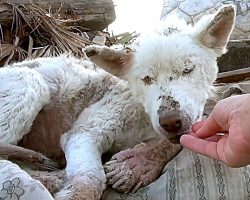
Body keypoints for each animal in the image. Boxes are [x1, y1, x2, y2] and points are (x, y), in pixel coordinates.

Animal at [0, 4, 235, 200]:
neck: (143, 113)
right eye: (146, 79)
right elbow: (89, 181)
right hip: (28, 84)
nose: (170, 121)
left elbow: (180, 139)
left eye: (188, 70)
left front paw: (137, 164)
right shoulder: (87, 128)